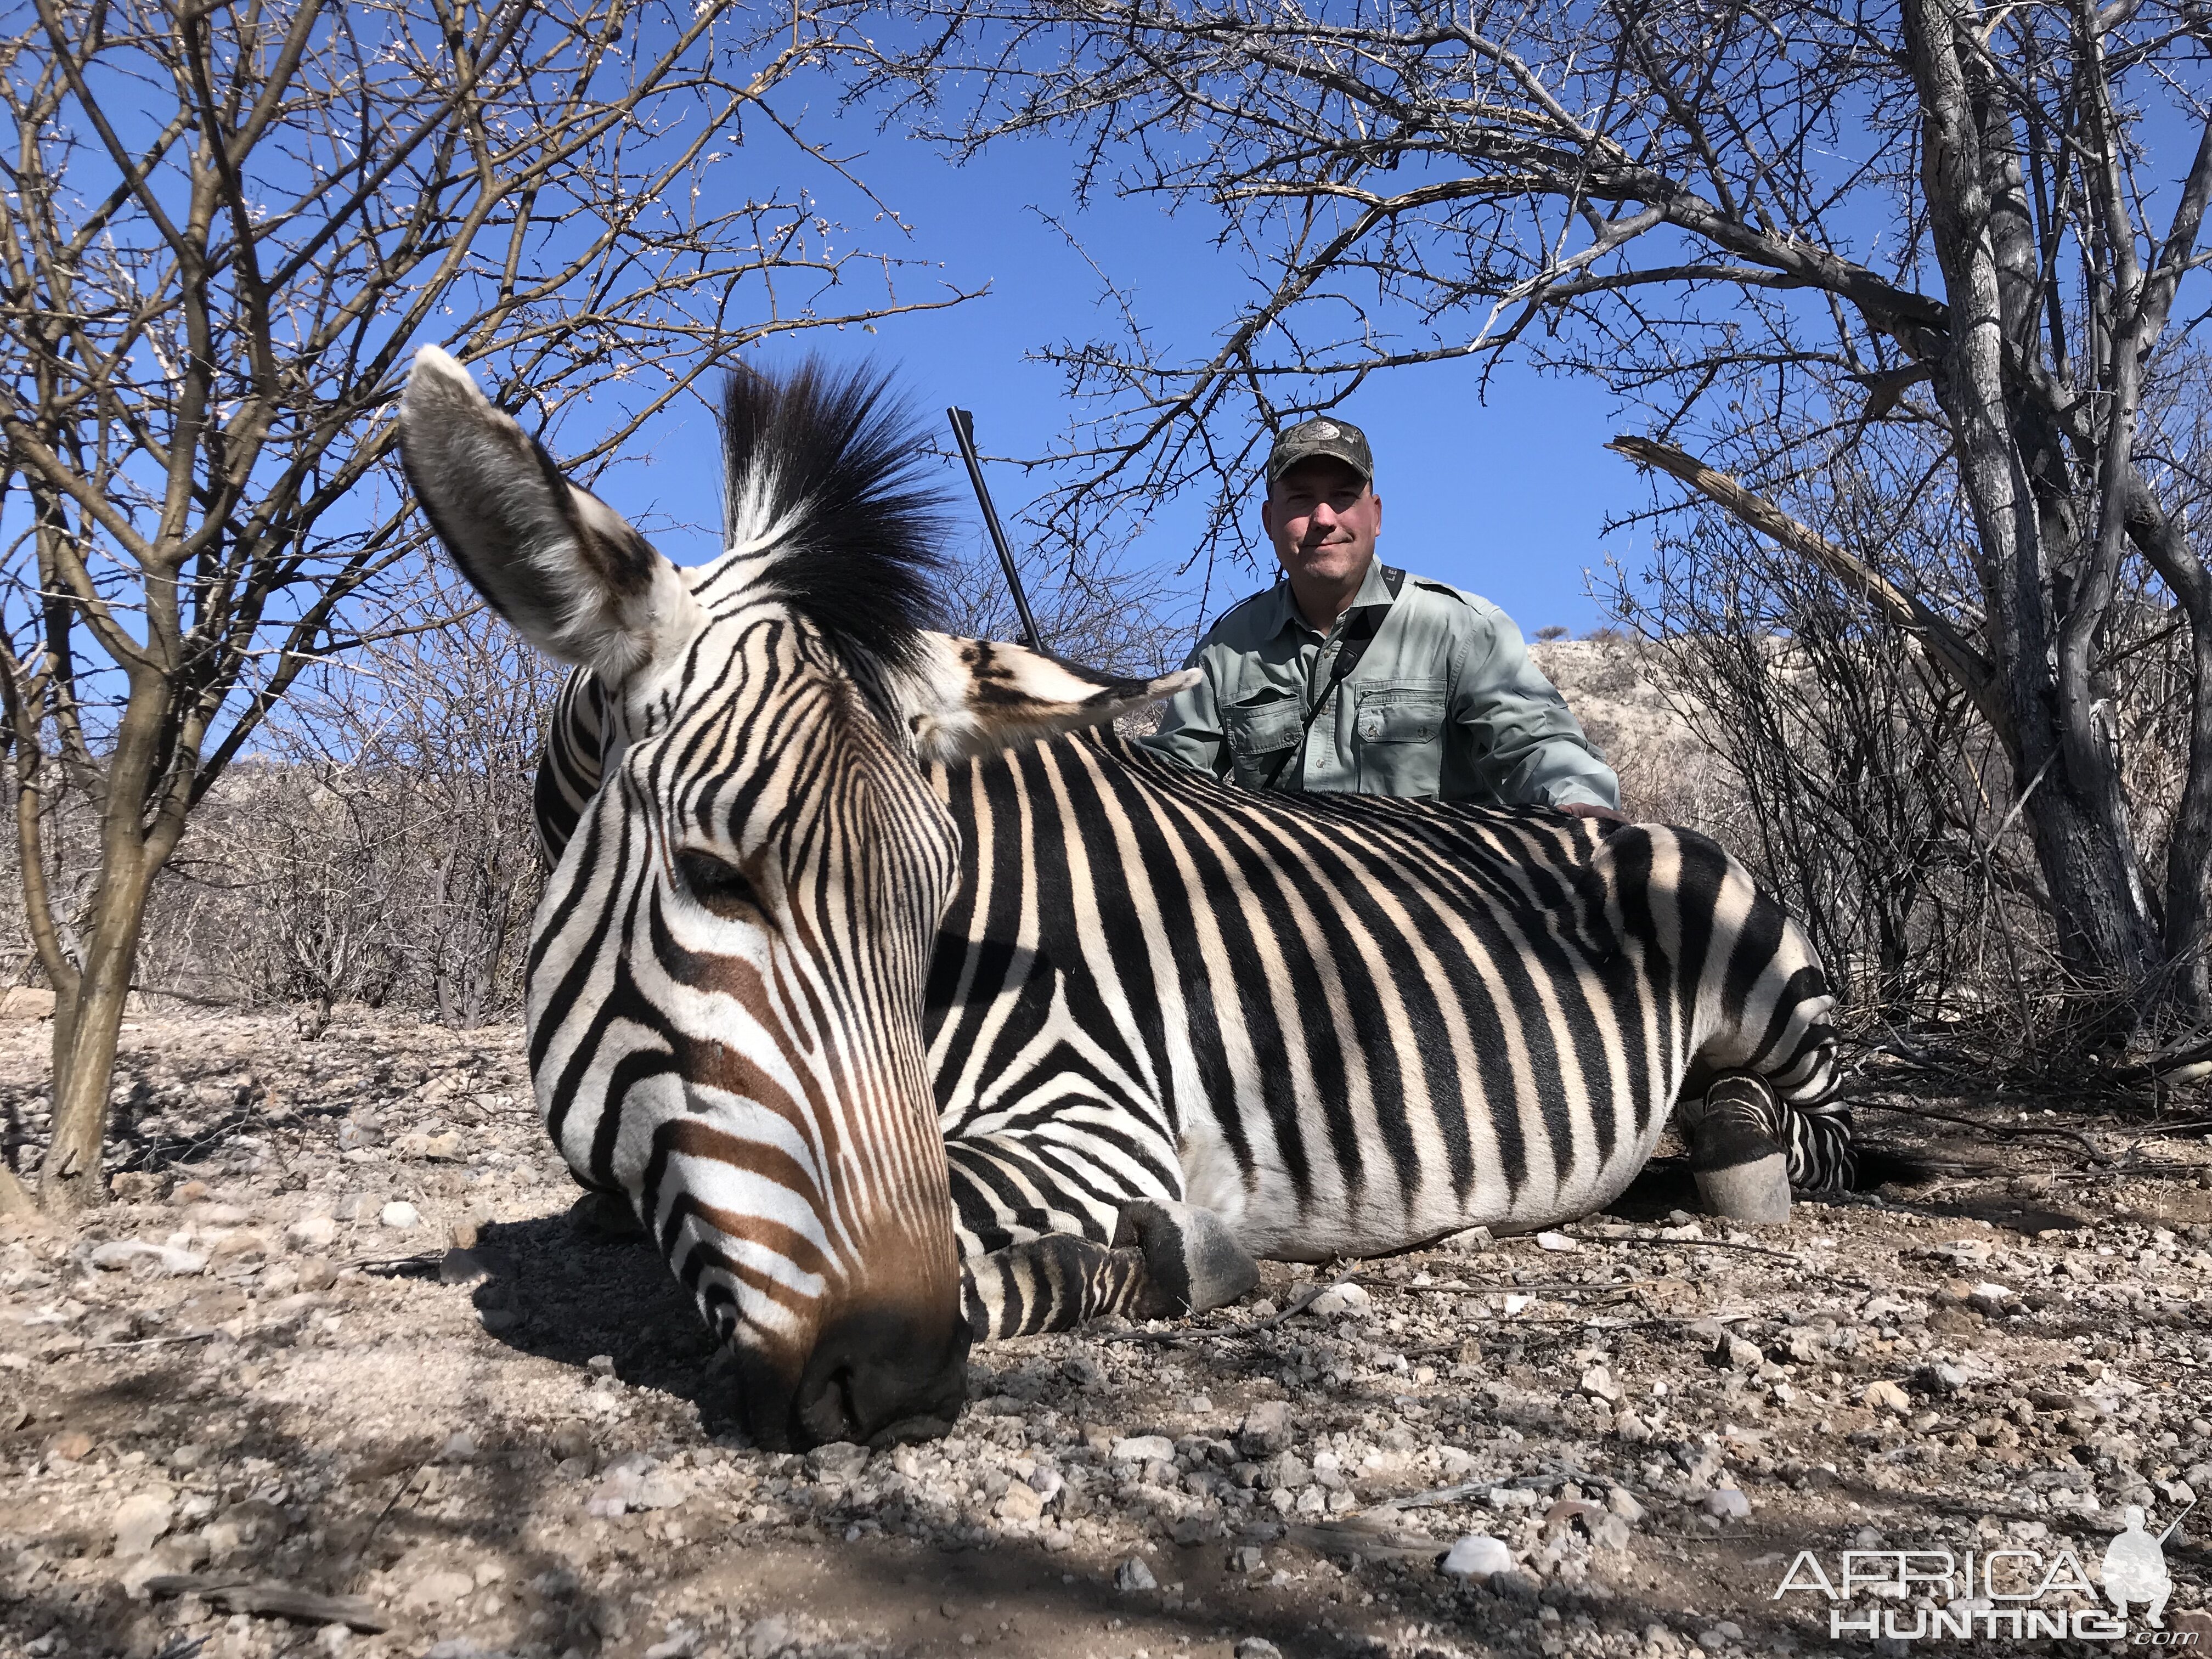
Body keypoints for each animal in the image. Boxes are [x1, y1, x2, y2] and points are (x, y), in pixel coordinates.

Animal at [393, 352, 1849, 1451]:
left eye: (936, 908)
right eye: (711, 876)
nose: (894, 1384)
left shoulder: (1099, 1118)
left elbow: (980, 1227)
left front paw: (1160, 1264)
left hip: (1773, 994)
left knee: (1813, 1125)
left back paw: (1728, 1139)